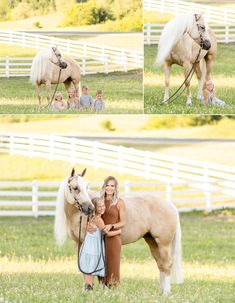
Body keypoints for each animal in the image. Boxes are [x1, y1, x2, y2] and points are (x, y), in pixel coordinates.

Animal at [54, 169, 183, 296]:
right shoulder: (78, 243)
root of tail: (171, 205)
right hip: (152, 242)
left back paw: (166, 292)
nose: (90, 208)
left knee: (166, 265)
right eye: (75, 187)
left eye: (86, 187)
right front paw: (87, 288)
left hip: (163, 244)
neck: (77, 215)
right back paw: (162, 291)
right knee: (160, 265)